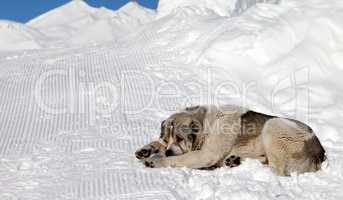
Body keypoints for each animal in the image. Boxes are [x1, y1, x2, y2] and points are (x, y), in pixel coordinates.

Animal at [136, 105, 326, 176]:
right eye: (166, 138)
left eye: (180, 138)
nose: (168, 151)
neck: (208, 125)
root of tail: (321, 153)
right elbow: (158, 145)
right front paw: (146, 150)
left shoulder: (206, 155)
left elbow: (178, 159)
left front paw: (154, 162)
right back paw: (234, 160)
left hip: (273, 126)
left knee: (277, 171)